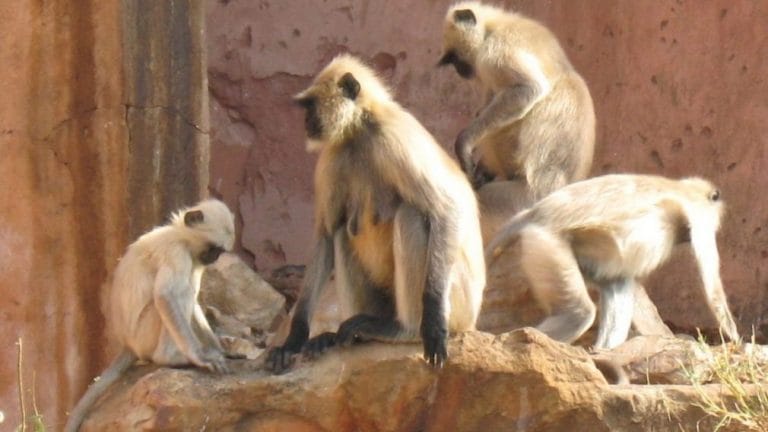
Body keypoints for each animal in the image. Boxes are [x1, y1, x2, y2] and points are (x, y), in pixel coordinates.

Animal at [64, 199, 236, 432]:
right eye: (214, 249)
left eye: (219, 251)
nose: (214, 258)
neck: (179, 235)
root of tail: (128, 344)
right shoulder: (176, 253)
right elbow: (165, 295)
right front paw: (199, 356)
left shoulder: (194, 260)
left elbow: (193, 300)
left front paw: (218, 349)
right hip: (144, 335)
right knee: (179, 293)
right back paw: (169, 358)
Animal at [268, 54, 486, 372]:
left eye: (310, 106)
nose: (305, 122)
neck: (359, 132)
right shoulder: (333, 155)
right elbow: (325, 234)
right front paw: (293, 340)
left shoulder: (393, 137)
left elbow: (448, 209)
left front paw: (433, 325)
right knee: (341, 233)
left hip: (459, 305)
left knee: (412, 214)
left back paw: (406, 329)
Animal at [438, 1, 595, 207]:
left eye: (455, 58)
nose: (458, 69)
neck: (493, 26)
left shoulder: (495, 50)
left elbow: (527, 90)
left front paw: (464, 143)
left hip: (521, 198)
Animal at [485, 174, 740, 350]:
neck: (682, 188)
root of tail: (535, 212)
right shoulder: (700, 215)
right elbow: (712, 289)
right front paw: (737, 342)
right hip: (547, 244)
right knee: (579, 313)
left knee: (617, 283)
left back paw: (603, 352)